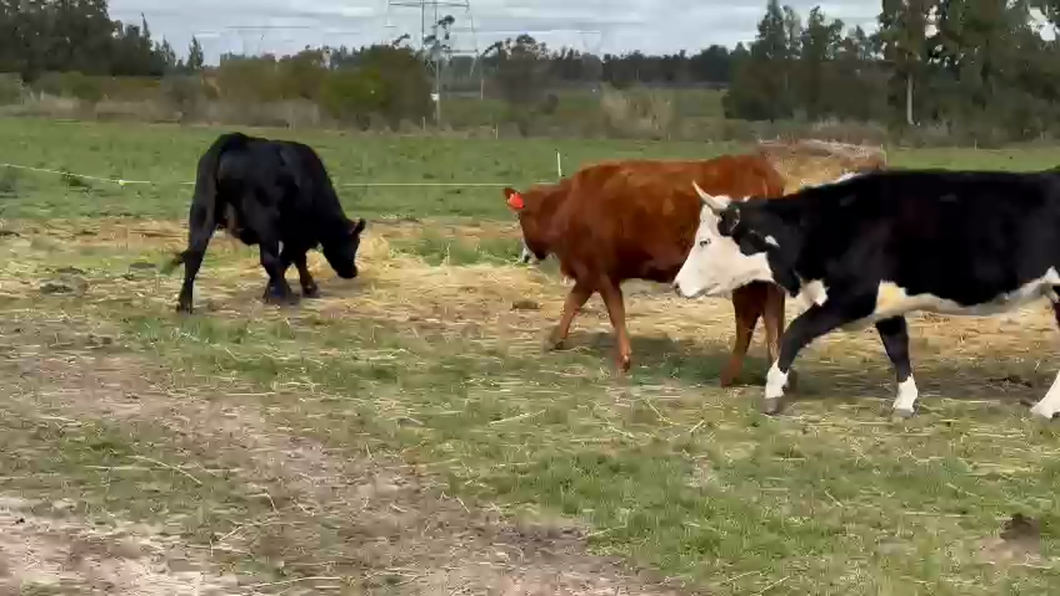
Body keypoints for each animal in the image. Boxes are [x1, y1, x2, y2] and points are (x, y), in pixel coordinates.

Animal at [163, 132, 366, 313]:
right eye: (354, 244)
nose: (353, 272)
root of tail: (237, 140)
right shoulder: (297, 233)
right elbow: (288, 259)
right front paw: (283, 291)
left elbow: (295, 259)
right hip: (265, 221)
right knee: (268, 258)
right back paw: (289, 296)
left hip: (202, 212)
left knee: (194, 255)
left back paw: (184, 304)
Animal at [502, 151, 788, 379]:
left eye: (521, 217)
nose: (524, 256)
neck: (568, 205)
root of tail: (756, 165)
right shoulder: (594, 273)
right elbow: (574, 303)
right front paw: (556, 339)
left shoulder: (597, 271)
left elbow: (612, 312)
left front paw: (623, 359)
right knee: (772, 312)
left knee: (749, 316)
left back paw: (731, 375)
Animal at [678, 164, 1060, 419]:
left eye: (705, 240)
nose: (678, 284)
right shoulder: (885, 304)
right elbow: (898, 348)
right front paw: (905, 401)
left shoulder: (852, 298)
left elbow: (794, 333)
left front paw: (773, 391)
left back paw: (1044, 409)